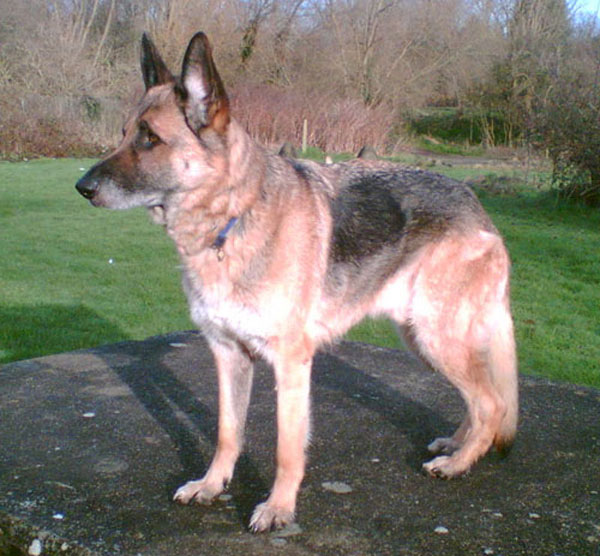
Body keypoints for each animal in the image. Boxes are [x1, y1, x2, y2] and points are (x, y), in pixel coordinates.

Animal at [74, 32, 516, 532]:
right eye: (124, 133)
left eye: (150, 139)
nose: (82, 187)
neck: (231, 218)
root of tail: (476, 203)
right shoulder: (228, 355)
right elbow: (228, 433)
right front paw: (212, 485)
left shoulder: (290, 364)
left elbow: (287, 448)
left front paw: (279, 508)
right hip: (423, 339)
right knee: (480, 398)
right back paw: (458, 445)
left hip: (435, 336)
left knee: (492, 403)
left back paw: (459, 463)